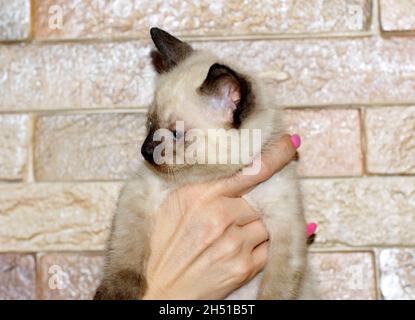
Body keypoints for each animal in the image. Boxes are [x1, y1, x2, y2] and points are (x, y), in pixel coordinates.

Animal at [94, 27, 316, 300]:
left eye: (175, 133)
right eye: (150, 125)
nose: (145, 152)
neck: (216, 176)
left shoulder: (286, 224)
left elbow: (277, 287)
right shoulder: (140, 192)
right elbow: (126, 247)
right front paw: (116, 292)